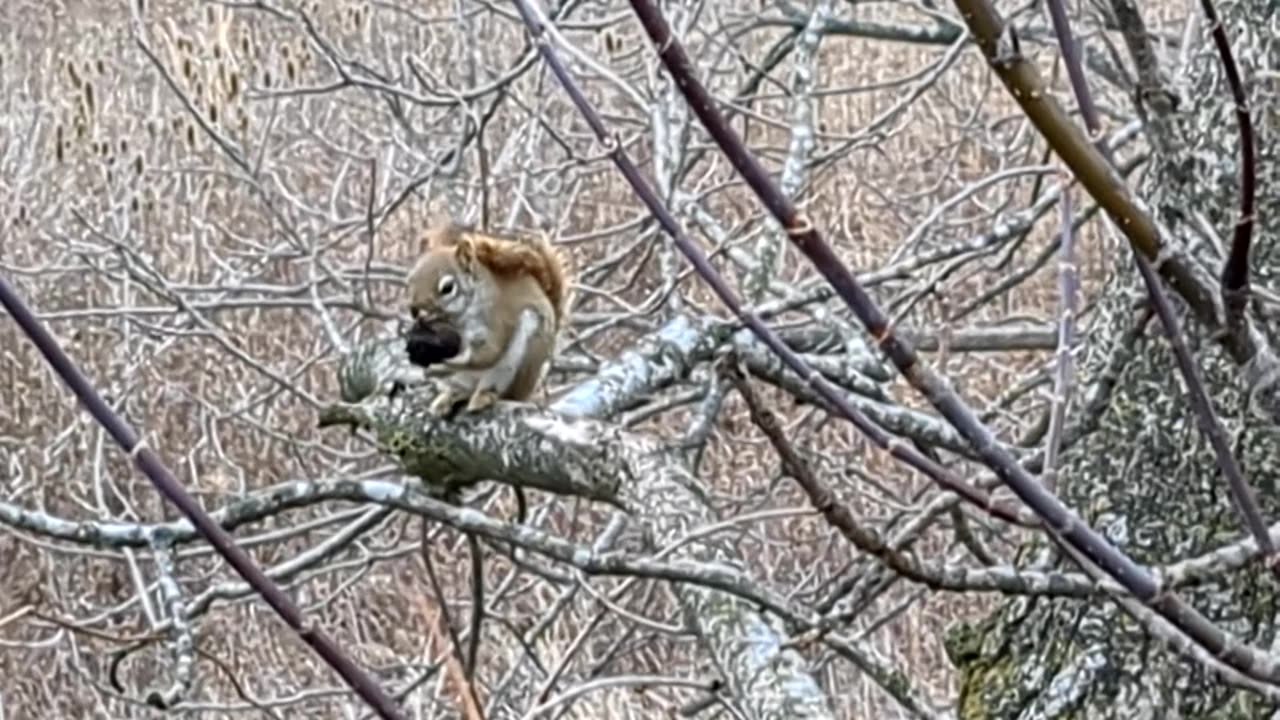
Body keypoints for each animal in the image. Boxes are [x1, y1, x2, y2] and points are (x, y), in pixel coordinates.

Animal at [403, 222, 571, 416]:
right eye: (409, 281)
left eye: (447, 288)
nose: (415, 310)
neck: (456, 319)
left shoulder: (495, 319)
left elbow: (488, 353)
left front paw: (444, 365)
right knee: (461, 390)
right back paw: (447, 398)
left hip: (520, 362)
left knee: (500, 390)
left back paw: (483, 397)